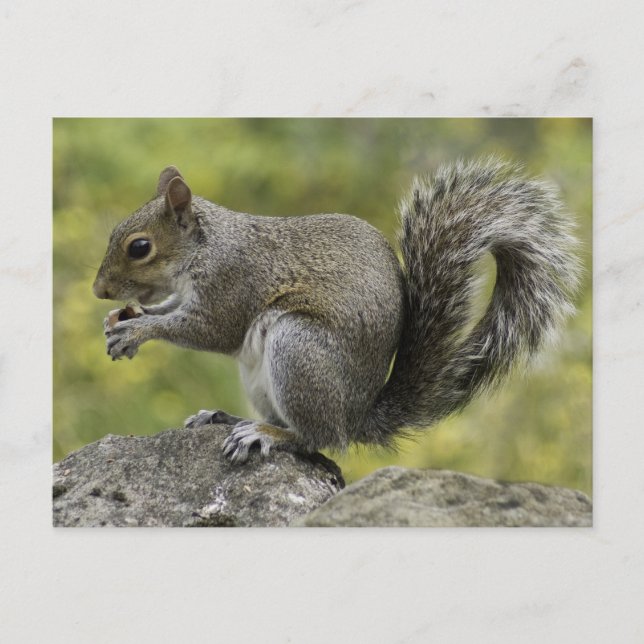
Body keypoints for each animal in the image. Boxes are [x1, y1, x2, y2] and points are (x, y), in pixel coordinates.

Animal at [93, 160, 579, 463]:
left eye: (139, 247)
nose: (99, 291)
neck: (206, 247)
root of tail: (356, 415)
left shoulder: (233, 283)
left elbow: (210, 329)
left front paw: (137, 331)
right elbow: (173, 307)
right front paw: (125, 319)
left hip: (299, 349)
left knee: (318, 439)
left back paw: (266, 434)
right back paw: (228, 418)